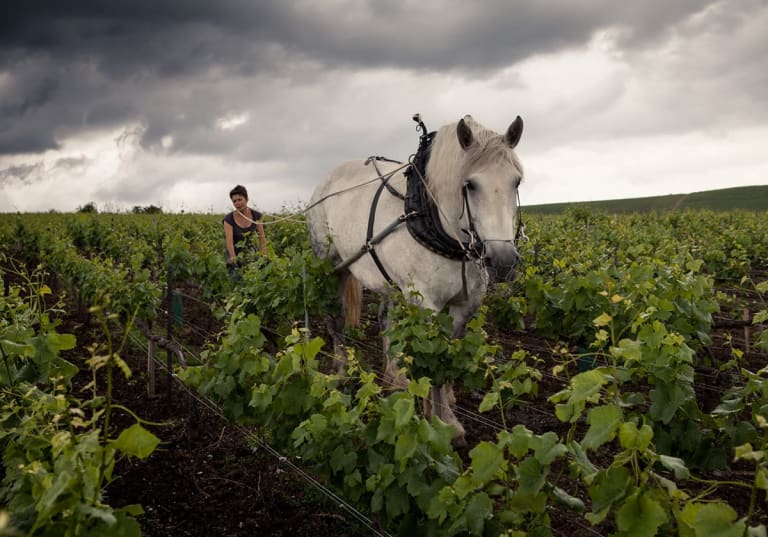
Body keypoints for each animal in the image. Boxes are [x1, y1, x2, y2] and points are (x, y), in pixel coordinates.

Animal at [308, 114, 524, 444]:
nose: (503, 261)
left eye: (516, 181)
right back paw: (341, 372)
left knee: (385, 318)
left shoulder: (465, 304)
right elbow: (434, 360)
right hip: (333, 265)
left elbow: (450, 355)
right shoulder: (427, 305)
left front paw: (445, 407)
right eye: (470, 185)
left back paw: (394, 377)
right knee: (337, 320)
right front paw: (443, 424)